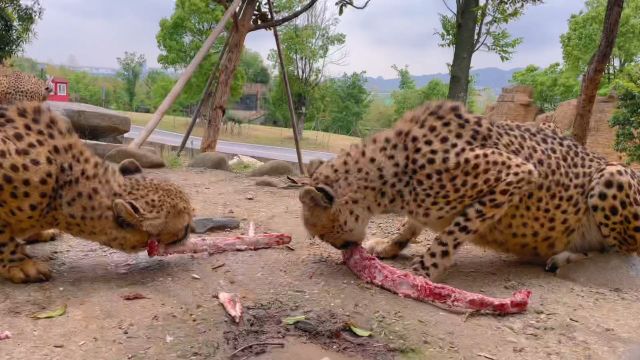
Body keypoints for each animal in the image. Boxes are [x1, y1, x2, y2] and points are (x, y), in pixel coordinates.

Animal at [300, 100, 640, 280]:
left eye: (322, 233)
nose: (342, 247)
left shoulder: (516, 172)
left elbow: (450, 235)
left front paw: (422, 272)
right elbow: (411, 225)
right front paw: (389, 245)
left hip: (612, 175)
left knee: (619, 252)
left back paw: (565, 258)